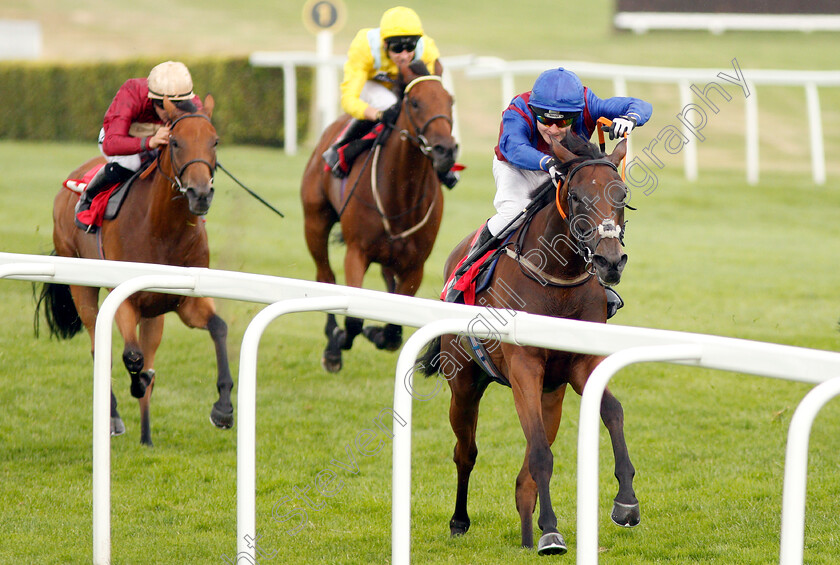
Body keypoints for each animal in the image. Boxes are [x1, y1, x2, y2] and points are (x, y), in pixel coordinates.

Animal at [36, 96, 233, 446]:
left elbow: (219, 328)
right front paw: (138, 382)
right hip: (81, 284)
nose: (200, 194)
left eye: (215, 141)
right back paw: (114, 416)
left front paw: (223, 408)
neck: (163, 230)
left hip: (155, 313)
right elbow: (131, 357)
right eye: (176, 142)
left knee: (147, 350)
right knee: (100, 347)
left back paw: (146, 436)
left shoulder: (185, 300)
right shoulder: (125, 298)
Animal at [302, 60, 456, 370]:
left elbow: (394, 328)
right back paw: (332, 342)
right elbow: (353, 320)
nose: (445, 151)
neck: (401, 193)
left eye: (450, 100)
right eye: (415, 102)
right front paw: (339, 341)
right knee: (325, 275)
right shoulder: (356, 253)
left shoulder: (415, 265)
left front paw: (378, 333)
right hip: (314, 222)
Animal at [420, 133, 636, 556]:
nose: (610, 261)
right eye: (576, 197)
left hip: (551, 392)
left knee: (529, 463)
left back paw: (525, 528)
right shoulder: (524, 366)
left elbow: (613, 413)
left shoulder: (579, 366)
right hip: (465, 384)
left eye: (621, 195)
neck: (558, 277)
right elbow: (538, 450)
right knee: (465, 452)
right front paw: (551, 531)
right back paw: (460, 520)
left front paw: (626, 502)